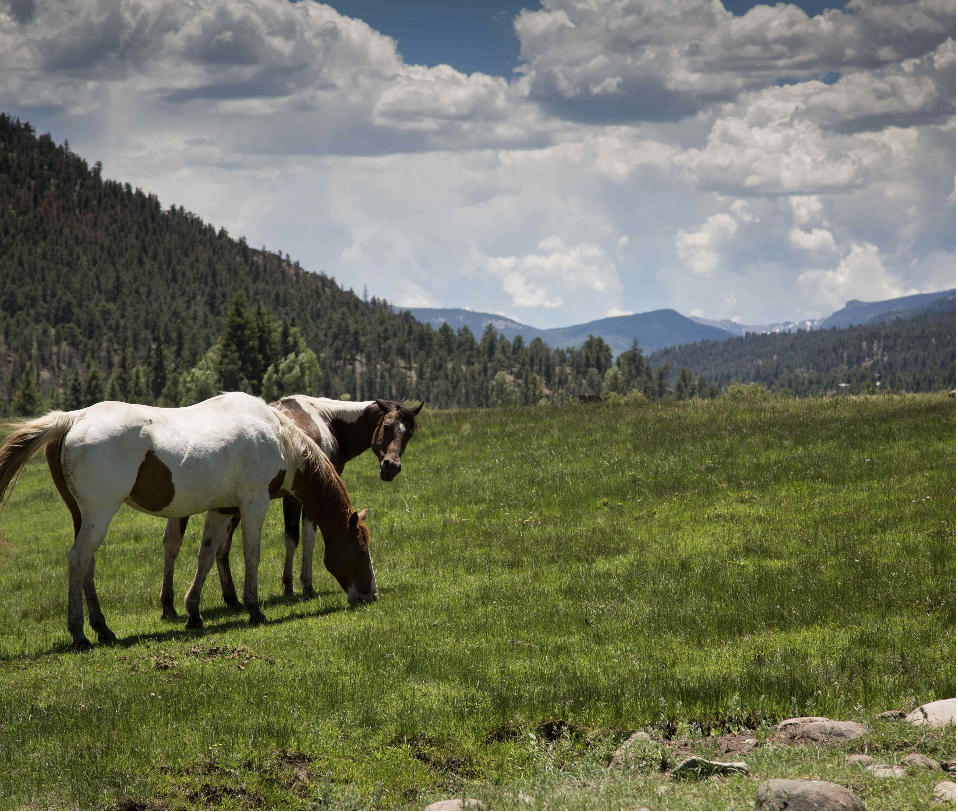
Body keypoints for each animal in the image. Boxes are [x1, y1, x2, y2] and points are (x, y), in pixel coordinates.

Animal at [0, 390, 378, 652]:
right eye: (360, 550)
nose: (371, 595)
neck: (278, 436)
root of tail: (73, 419)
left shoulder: (222, 509)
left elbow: (207, 556)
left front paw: (193, 613)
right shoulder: (253, 503)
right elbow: (251, 555)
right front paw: (253, 608)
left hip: (83, 516)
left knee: (87, 564)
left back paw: (102, 629)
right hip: (99, 513)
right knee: (78, 561)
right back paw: (79, 633)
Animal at [159, 396, 422, 620]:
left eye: (408, 434)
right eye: (386, 426)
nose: (391, 466)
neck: (327, 420)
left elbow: (290, 538)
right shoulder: (301, 498)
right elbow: (301, 538)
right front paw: (301, 586)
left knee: (181, 546)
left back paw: (182, 604)